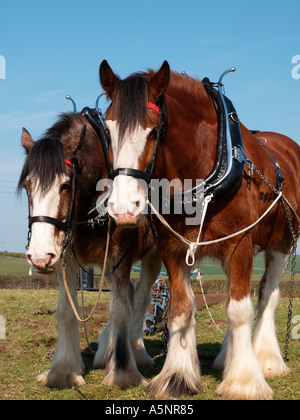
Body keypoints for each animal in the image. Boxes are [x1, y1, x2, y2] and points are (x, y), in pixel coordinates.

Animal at [18, 112, 162, 390]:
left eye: (65, 185)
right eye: (28, 186)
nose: (39, 257)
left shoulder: (120, 256)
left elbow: (120, 308)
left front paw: (123, 374)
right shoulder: (66, 258)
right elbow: (66, 310)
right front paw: (63, 371)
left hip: (152, 256)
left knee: (139, 298)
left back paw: (136, 352)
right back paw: (107, 349)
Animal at [99, 60, 298, 400]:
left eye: (155, 130)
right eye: (108, 129)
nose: (124, 208)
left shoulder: (240, 246)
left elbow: (240, 310)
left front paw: (245, 381)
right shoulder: (174, 249)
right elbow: (181, 308)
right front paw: (178, 377)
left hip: (282, 244)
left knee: (267, 295)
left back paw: (267, 359)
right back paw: (227, 356)